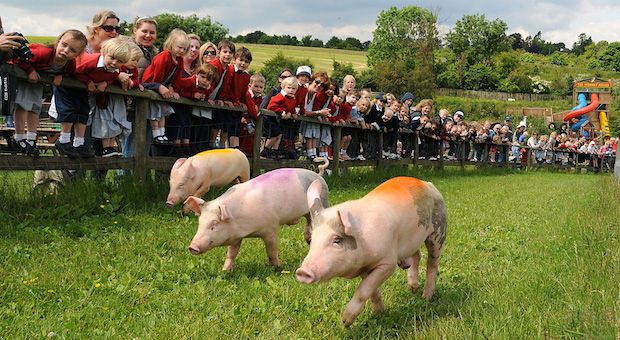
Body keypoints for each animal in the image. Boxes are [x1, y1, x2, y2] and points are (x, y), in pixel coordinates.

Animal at [184, 159, 330, 270]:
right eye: (200, 223)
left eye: (214, 224)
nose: (192, 247)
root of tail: (319, 175)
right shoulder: (236, 236)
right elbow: (232, 253)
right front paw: (225, 270)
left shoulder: (271, 228)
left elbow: (271, 250)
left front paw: (278, 267)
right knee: (309, 221)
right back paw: (309, 240)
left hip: (323, 201)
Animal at [294, 177, 446, 326]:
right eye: (312, 239)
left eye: (336, 239)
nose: (302, 271)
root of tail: (428, 184)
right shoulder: (364, 268)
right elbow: (372, 291)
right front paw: (379, 313)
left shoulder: (388, 263)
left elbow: (364, 290)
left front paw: (345, 321)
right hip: (412, 241)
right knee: (417, 256)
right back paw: (412, 289)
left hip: (439, 232)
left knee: (432, 263)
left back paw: (426, 297)